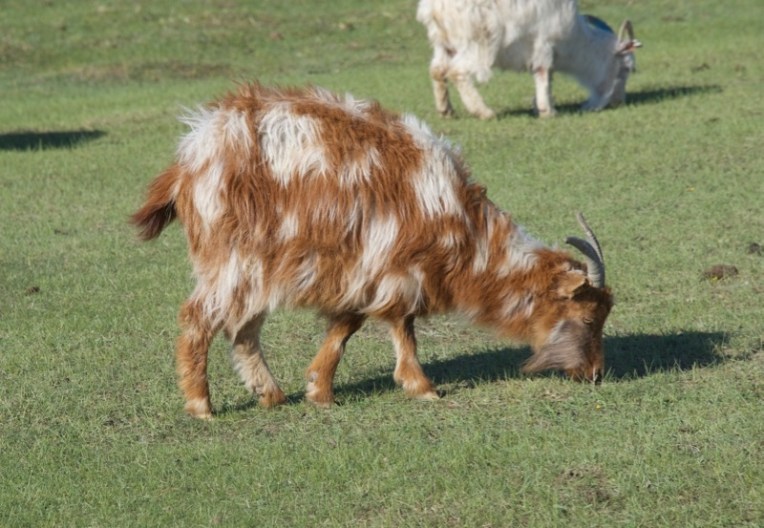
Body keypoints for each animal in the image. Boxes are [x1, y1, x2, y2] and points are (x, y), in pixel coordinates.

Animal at [131, 83, 613, 419]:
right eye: (588, 317)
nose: (595, 374)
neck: (463, 229)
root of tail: (191, 157)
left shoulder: (365, 271)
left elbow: (348, 323)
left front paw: (319, 389)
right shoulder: (394, 267)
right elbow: (396, 325)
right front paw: (422, 387)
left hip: (255, 269)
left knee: (243, 329)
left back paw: (271, 394)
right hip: (233, 259)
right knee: (199, 319)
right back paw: (202, 406)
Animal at [416, 0, 642, 118]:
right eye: (626, 68)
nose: (618, 102)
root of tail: (434, 9)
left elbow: (548, 77)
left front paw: (542, 106)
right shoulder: (544, 44)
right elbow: (543, 74)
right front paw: (547, 111)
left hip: (443, 44)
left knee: (437, 71)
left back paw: (446, 111)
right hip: (476, 43)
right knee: (457, 72)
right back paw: (484, 112)